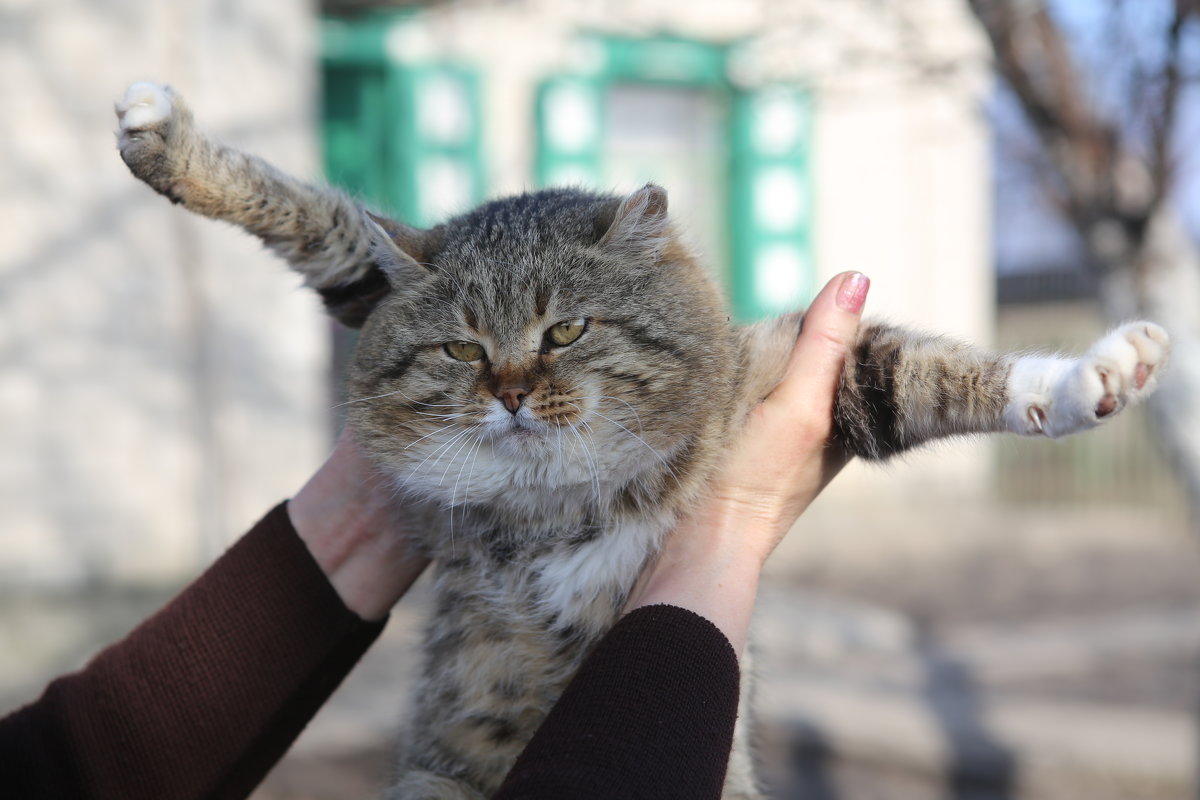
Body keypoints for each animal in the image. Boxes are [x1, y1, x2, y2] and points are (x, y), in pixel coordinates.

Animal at [114, 77, 1171, 796]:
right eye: (462, 347)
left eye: (566, 331)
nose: (509, 393)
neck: (552, 502)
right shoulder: (362, 283)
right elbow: (314, 215)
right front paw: (161, 142)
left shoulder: (793, 372)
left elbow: (932, 371)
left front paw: (1090, 375)